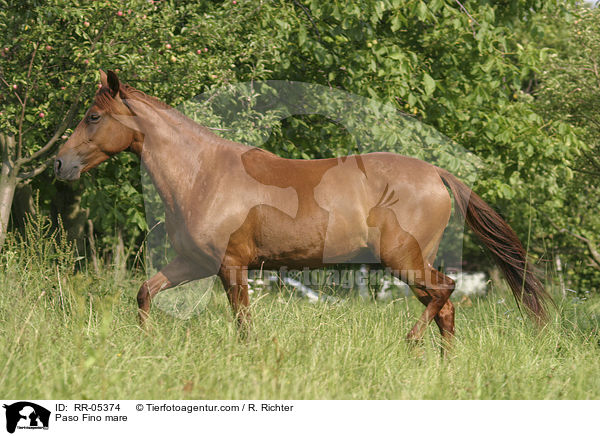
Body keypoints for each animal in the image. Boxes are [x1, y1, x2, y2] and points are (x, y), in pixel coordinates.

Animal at [54, 70, 552, 348]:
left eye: (93, 117)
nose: (60, 163)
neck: (202, 175)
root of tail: (435, 173)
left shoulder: (230, 266)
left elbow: (243, 324)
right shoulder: (194, 262)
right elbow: (145, 293)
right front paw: (147, 343)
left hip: (404, 260)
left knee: (445, 293)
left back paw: (409, 344)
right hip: (414, 262)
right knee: (444, 308)